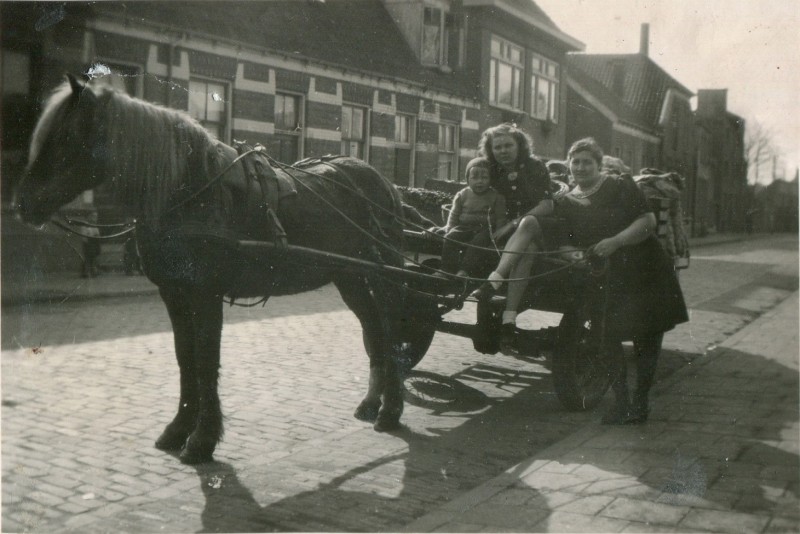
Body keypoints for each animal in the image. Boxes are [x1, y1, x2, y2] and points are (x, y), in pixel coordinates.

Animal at [15, 74, 428, 464]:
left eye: (68, 136)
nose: (23, 203)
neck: (188, 188)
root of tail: (387, 185)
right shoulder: (174, 293)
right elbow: (185, 359)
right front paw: (178, 429)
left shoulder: (206, 293)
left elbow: (205, 361)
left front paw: (202, 440)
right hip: (350, 277)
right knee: (375, 332)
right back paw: (372, 405)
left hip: (384, 277)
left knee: (391, 333)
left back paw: (390, 411)